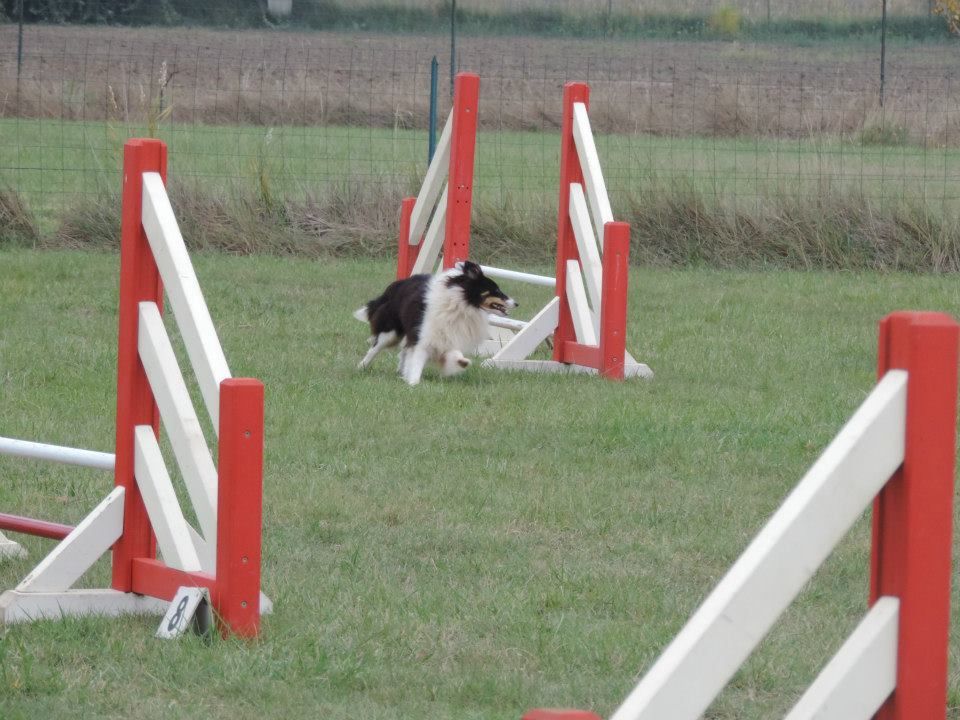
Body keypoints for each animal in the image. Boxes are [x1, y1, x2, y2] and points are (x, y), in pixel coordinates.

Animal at [352, 262, 516, 386]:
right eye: (495, 290)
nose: (516, 303)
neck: (462, 304)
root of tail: (399, 283)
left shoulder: (448, 336)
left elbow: (454, 353)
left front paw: (462, 362)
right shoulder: (423, 338)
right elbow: (417, 359)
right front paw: (413, 382)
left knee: (404, 351)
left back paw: (401, 370)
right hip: (390, 332)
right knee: (375, 348)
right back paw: (361, 367)